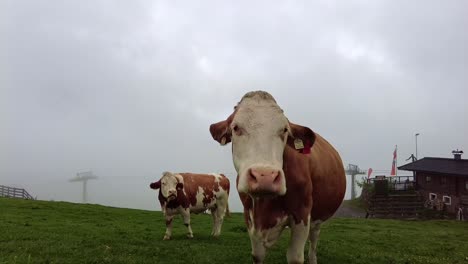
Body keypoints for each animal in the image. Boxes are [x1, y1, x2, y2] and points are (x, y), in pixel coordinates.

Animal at [210, 91, 346, 264]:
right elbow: (257, 255)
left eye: (285, 130)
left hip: (318, 216)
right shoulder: (249, 216)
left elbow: (295, 257)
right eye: (236, 128)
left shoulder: (302, 214)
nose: (265, 176)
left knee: (314, 240)